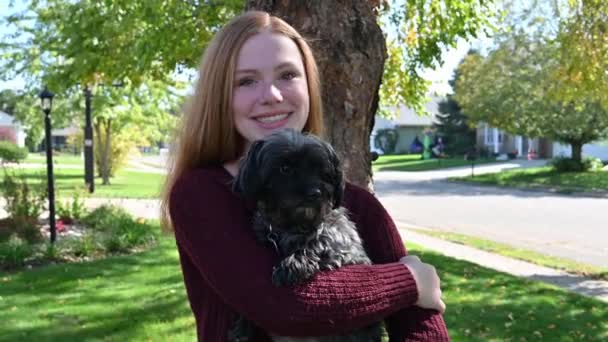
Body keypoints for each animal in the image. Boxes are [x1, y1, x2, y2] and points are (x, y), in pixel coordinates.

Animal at [230, 129, 382, 342]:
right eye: (285, 168)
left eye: (322, 171)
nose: (314, 192)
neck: (292, 224)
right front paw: (243, 325)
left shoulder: (343, 246)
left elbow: (319, 241)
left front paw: (292, 265)